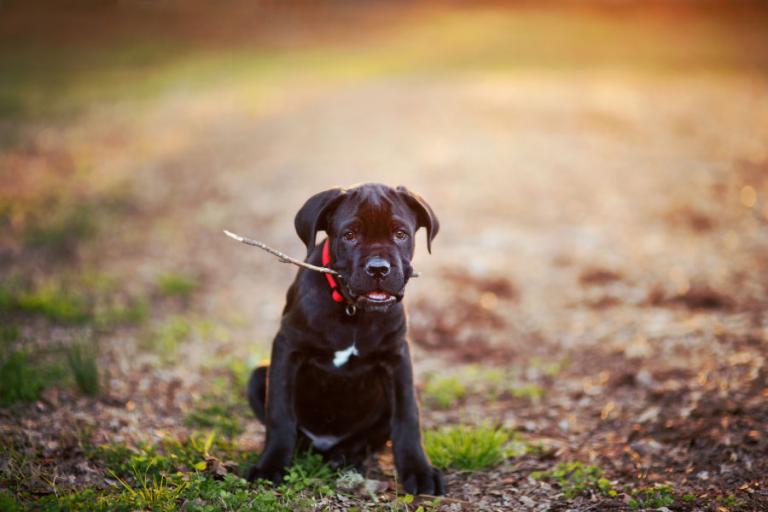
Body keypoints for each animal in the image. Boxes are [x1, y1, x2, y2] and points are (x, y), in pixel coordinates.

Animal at [246, 182, 444, 494]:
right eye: (350, 235)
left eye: (400, 234)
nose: (378, 268)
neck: (353, 312)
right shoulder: (287, 348)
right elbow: (279, 413)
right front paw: (271, 466)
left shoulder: (398, 358)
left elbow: (407, 418)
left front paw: (418, 470)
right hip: (256, 376)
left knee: (370, 437)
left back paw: (346, 455)